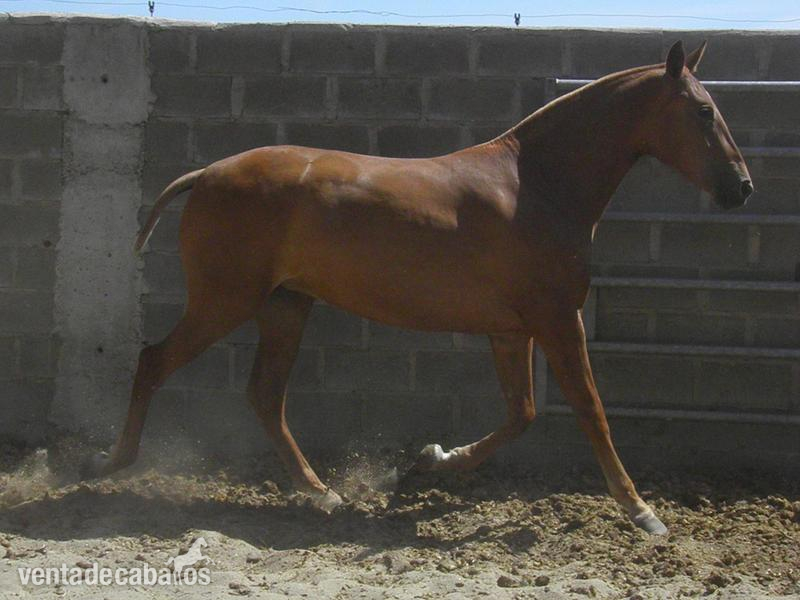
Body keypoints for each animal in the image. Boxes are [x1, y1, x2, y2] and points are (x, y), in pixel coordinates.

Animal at [84, 40, 752, 535]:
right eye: (703, 111)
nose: (741, 187)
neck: (535, 185)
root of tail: (205, 173)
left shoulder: (510, 331)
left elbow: (522, 414)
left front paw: (426, 466)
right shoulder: (559, 319)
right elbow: (590, 410)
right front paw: (641, 511)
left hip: (285, 306)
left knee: (265, 398)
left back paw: (323, 495)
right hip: (226, 301)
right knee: (155, 362)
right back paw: (112, 465)